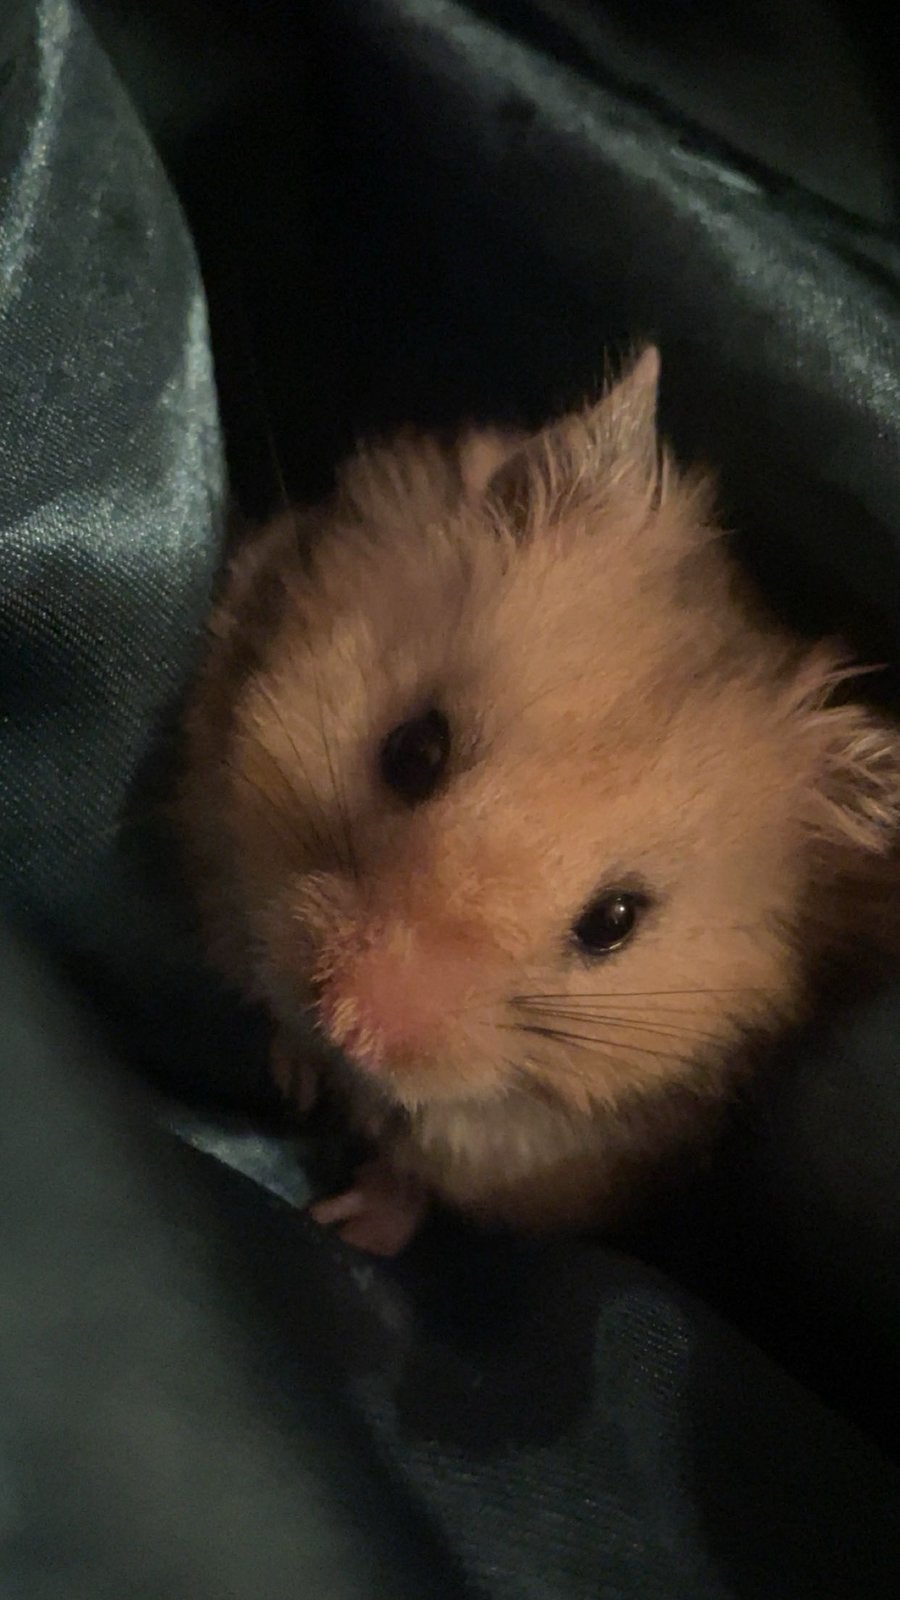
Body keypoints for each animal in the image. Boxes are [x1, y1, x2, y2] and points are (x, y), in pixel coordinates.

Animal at [177, 348, 900, 1255]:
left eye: (613, 922)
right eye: (413, 750)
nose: (350, 1024)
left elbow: (420, 1172)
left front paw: (349, 1226)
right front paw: (297, 1074)